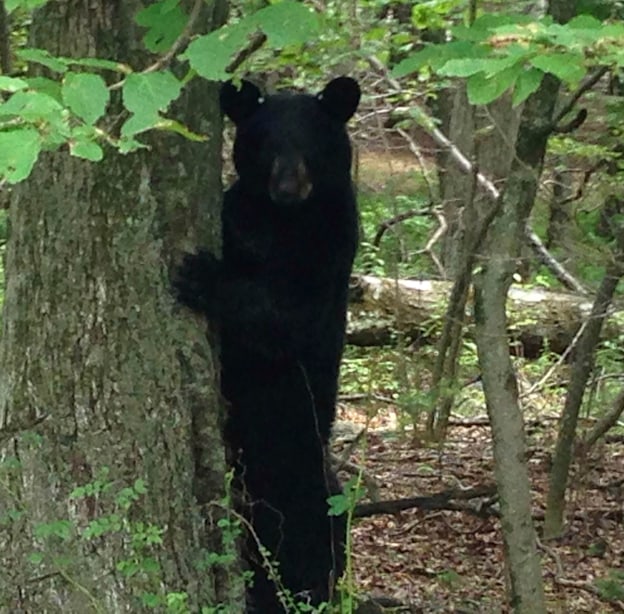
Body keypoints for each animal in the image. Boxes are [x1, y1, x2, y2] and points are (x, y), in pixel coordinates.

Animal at [176, 76, 360, 612]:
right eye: (265, 144)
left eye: (312, 142)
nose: (288, 188)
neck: (284, 222)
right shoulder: (239, 214)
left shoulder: (330, 245)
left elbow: (284, 315)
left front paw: (201, 276)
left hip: (304, 485)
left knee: (312, 542)